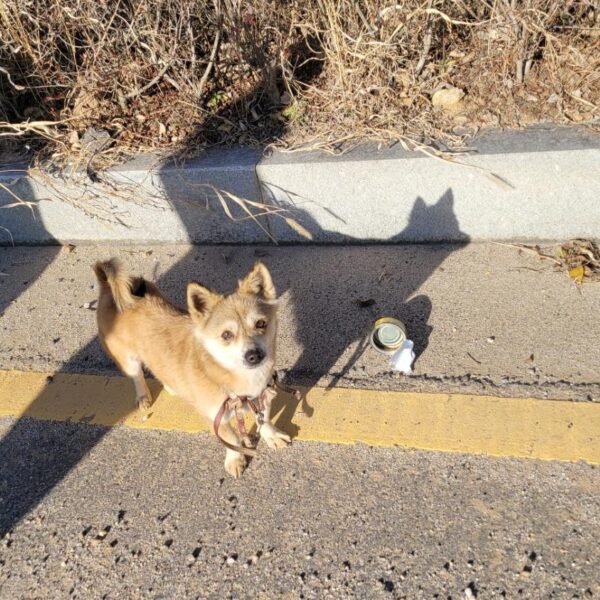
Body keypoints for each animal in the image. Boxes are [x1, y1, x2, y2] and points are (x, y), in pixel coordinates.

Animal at [93, 258, 290, 478]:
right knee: (137, 376)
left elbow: (264, 419)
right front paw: (235, 459)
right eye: (226, 335)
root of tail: (108, 286)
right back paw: (143, 396)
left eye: (261, 323)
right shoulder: (215, 417)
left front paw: (271, 435)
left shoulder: (262, 397)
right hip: (128, 360)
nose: (253, 355)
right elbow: (231, 439)